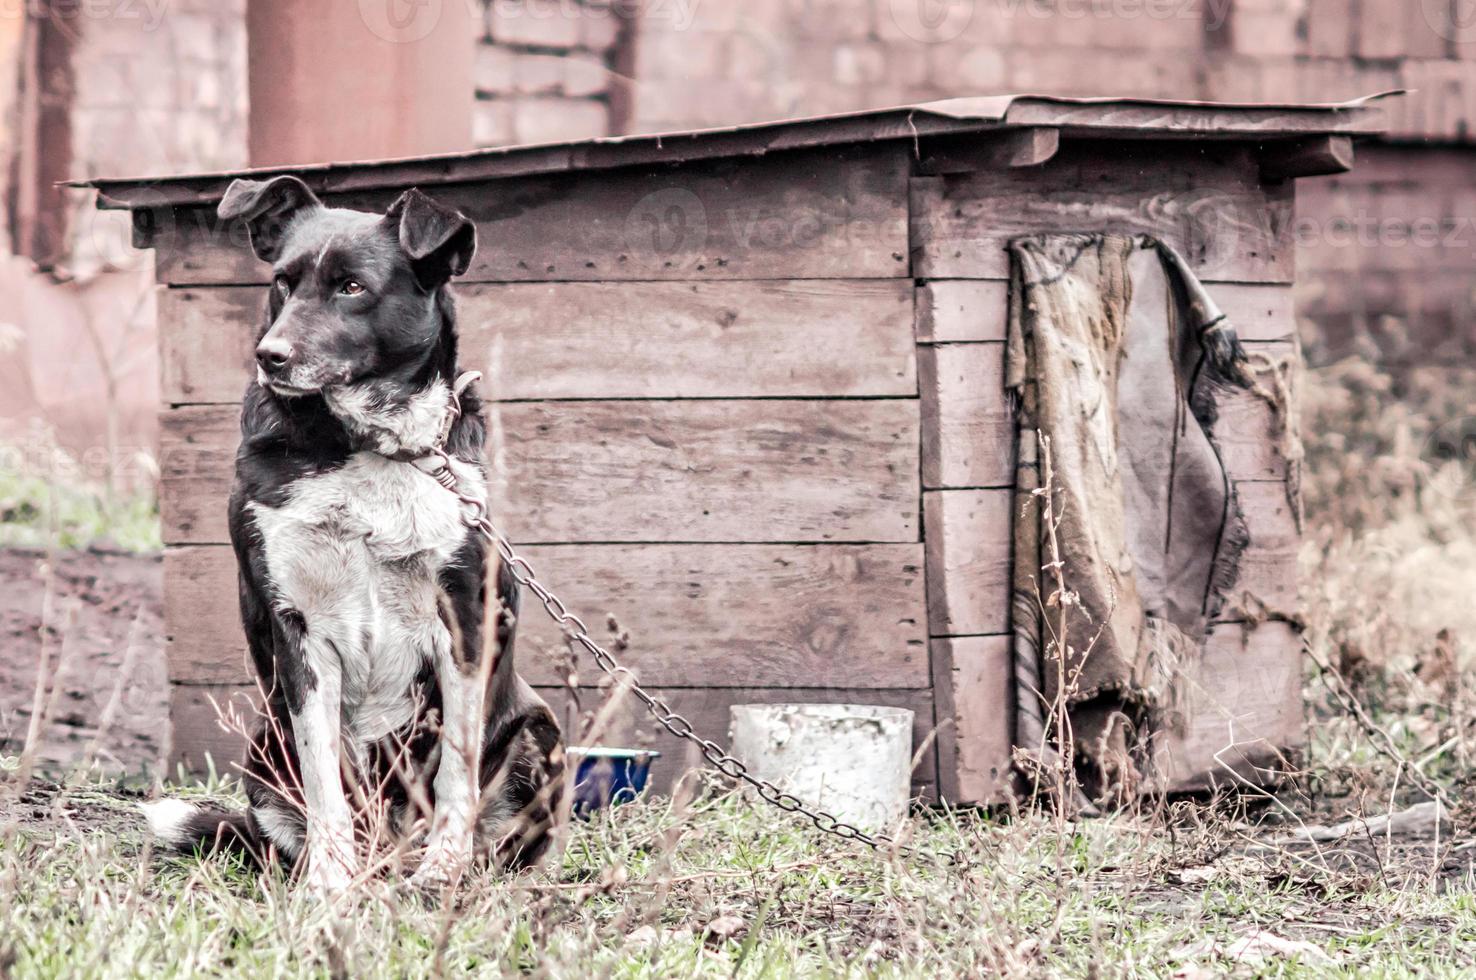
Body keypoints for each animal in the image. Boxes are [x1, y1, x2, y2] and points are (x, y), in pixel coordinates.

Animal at [143, 174, 566, 885]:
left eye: (351, 287)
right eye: (283, 282)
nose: (270, 356)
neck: (374, 444)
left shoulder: (463, 622)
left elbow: (456, 770)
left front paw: (441, 873)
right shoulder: (299, 631)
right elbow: (324, 777)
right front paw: (329, 884)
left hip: (539, 729)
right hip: (264, 744)